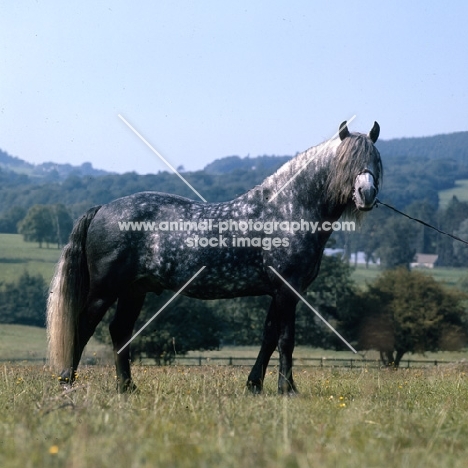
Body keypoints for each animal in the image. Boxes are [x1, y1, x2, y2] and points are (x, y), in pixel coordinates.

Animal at [47, 119, 382, 392]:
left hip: (134, 291)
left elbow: (269, 336)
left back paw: (127, 388)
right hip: (105, 290)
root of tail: (102, 208)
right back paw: (67, 383)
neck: (287, 208)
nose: (366, 194)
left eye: (376, 160)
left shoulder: (276, 292)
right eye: (347, 161)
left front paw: (255, 385)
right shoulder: (287, 289)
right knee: (83, 326)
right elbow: (286, 340)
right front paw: (287, 389)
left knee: (119, 332)